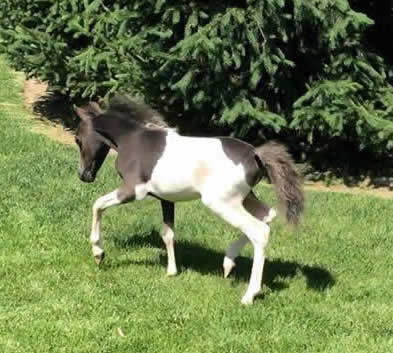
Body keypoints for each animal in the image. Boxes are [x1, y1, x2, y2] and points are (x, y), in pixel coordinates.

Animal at [74, 95, 304, 302]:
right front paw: (171, 271)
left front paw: (98, 253)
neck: (133, 140)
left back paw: (249, 295)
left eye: (77, 139)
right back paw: (228, 263)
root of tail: (256, 154)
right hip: (245, 198)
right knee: (268, 215)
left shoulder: (133, 190)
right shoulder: (166, 198)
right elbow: (168, 233)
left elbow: (97, 205)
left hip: (220, 202)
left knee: (258, 230)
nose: (84, 176)